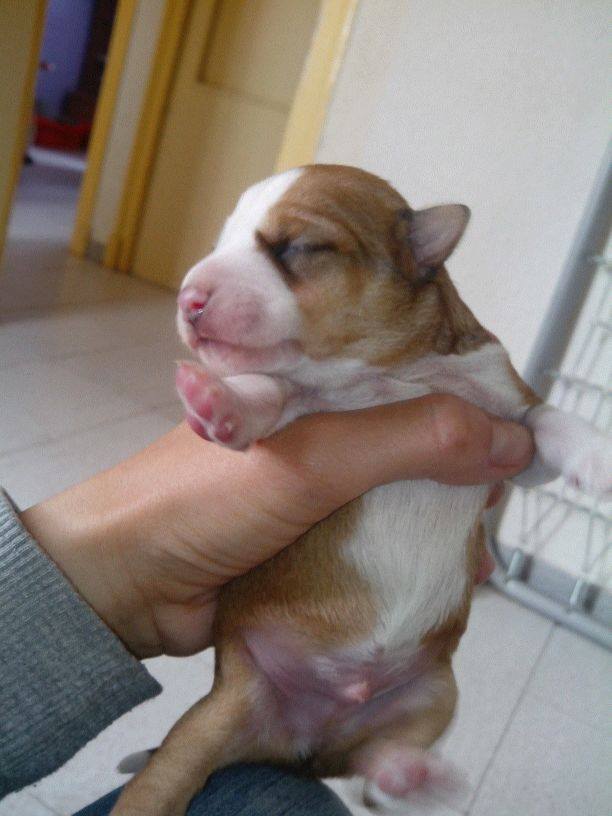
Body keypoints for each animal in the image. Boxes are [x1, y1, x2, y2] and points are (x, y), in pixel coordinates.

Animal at [112, 165, 611, 815]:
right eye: (222, 242)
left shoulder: (511, 426)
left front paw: (596, 457)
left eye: (296, 247)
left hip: (434, 694)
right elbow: (268, 393)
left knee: (370, 764)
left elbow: (550, 421)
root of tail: (301, 746)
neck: (389, 373)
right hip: (219, 713)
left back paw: (416, 774)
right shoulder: (301, 406)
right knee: (166, 776)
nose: (188, 298)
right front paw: (217, 399)